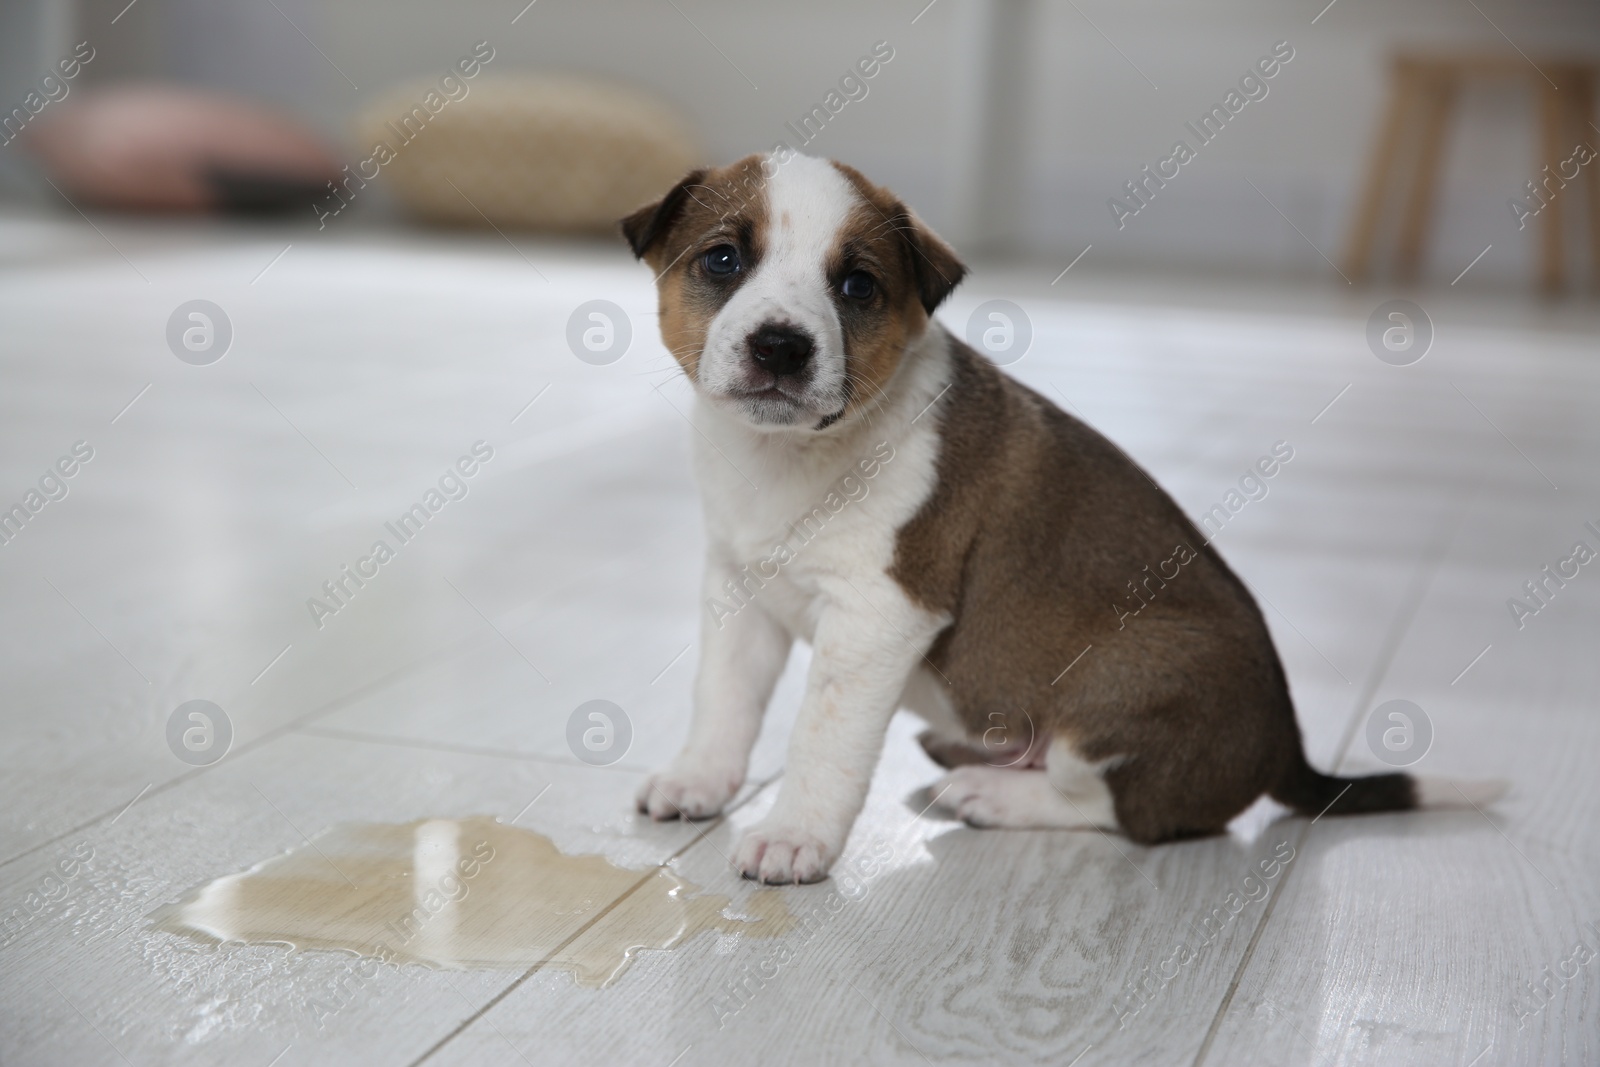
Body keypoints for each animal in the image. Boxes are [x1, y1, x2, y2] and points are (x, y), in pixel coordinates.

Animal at [620, 150, 1497, 883]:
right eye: (723, 259)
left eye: (857, 286)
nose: (780, 345)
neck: (786, 457)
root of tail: (1289, 748)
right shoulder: (740, 592)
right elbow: (724, 700)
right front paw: (700, 778)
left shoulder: (878, 617)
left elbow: (820, 736)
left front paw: (795, 833)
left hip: (1124, 678)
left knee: (1121, 810)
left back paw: (990, 793)